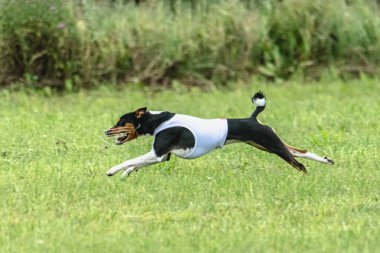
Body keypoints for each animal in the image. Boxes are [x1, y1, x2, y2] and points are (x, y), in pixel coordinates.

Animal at [105, 92, 334, 177]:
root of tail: (253, 118)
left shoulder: (158, 153)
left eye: (121, 122)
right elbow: (136, 164)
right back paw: (326, 160)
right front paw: (126, 174)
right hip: (268, 144)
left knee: (299, 164)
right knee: (301, 152)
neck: (158, 121)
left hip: (272, 146)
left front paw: (112, 170)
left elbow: (129, 160)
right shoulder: (162, 156)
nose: (106, 131)